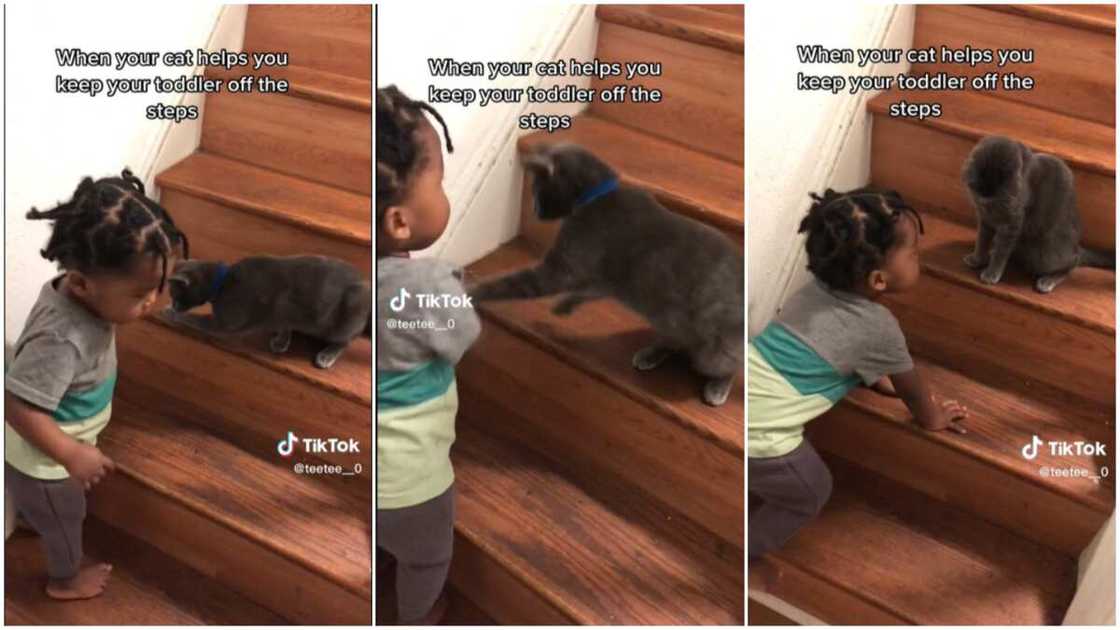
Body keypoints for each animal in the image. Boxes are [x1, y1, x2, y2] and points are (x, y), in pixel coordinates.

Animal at [164, 252, 371, 365]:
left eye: (175, 296)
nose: (173, 304)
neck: (222, 282)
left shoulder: (223, 322)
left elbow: (194, 319)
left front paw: (169, 313)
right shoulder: (285, 312)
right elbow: (285, 323)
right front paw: (281, 339)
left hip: (349, 311)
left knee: (346, 340)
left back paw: (327, 355)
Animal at [465, 142, 743, 403]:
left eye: (536, 190)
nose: (535, 210)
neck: (595, 197)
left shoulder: (560, 269)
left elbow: (509, 284)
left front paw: (470, 292)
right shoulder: (602, 278)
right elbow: (589, 291)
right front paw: (564, 305)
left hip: (714, 348)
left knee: (728, 365)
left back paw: (718, 387)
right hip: (668, 319)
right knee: (676, 341)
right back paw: (651, 353)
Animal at [963, 135, 1111, 291]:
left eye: (1000, 183)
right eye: (980, 176)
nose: (985, 193)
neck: (992, 207)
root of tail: (1076, 247)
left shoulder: (1012, 224)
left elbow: (1001, 251)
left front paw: (991, 273)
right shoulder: (985, 219)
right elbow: (982, 241)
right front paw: (976, 259)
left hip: (1047, 255)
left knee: (1071, 264)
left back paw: (1048, 281)